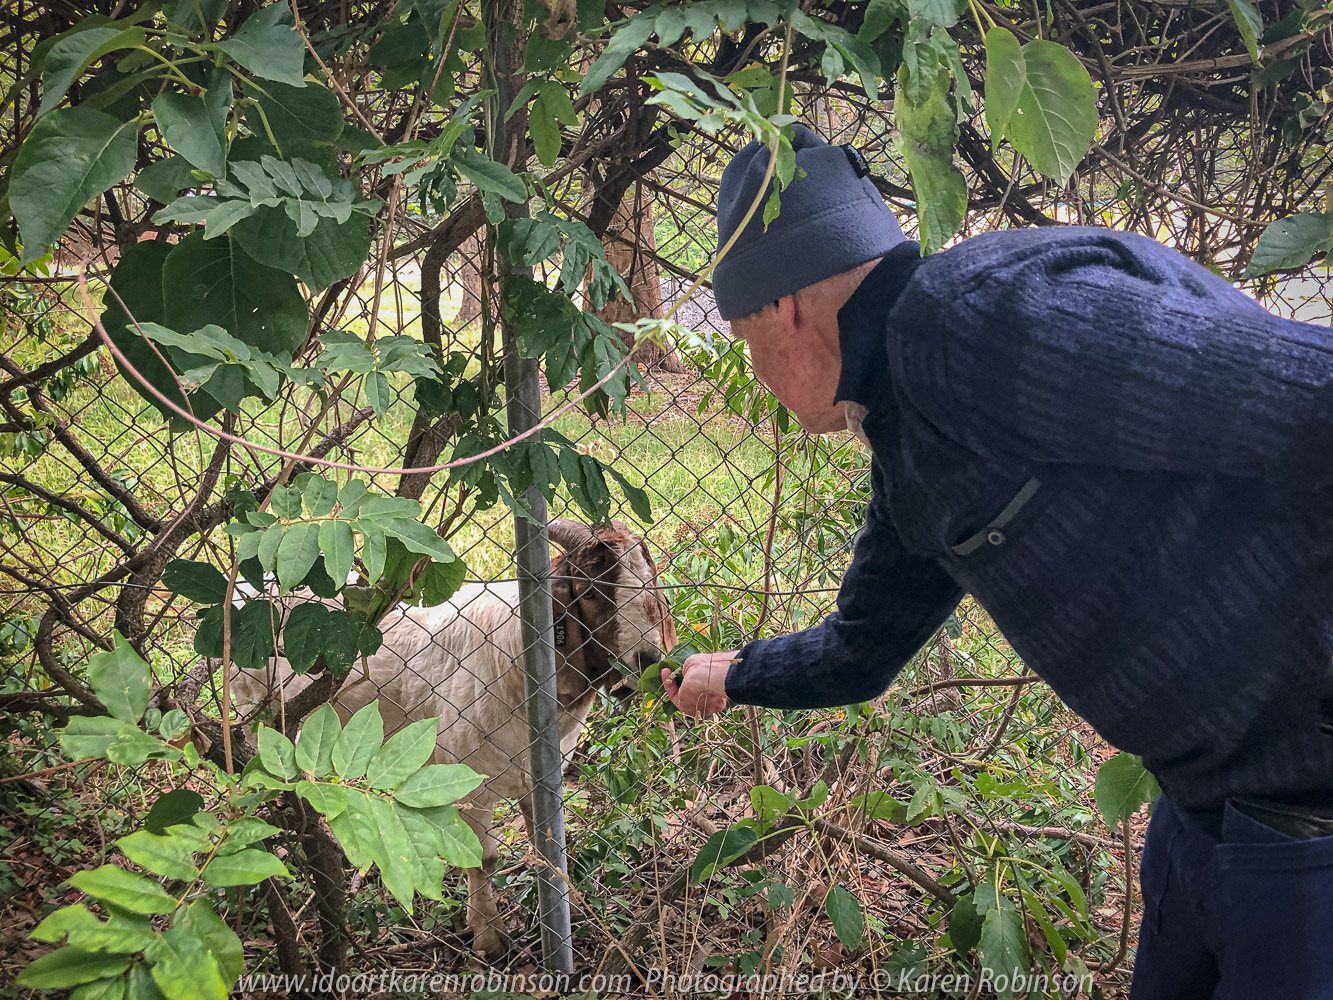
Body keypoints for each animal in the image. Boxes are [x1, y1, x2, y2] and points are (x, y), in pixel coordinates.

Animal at [228, 518, 676, 957]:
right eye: (590, 591)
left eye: (651, 581)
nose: (650, 661)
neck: (514, 659)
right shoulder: (471, 785)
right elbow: (485, 859)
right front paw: (489, 937)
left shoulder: (538, 779)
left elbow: (546, 846)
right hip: (258, 712)